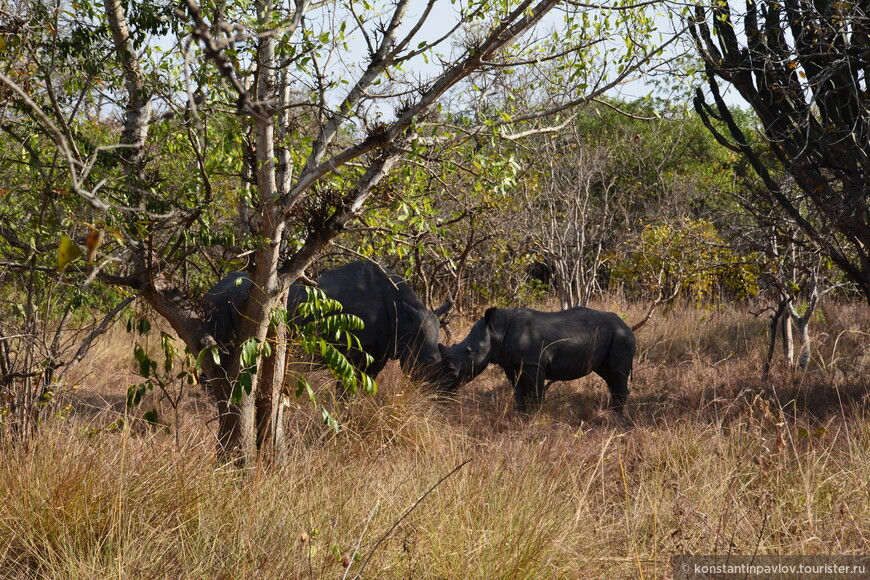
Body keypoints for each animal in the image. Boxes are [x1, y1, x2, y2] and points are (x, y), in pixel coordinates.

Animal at [204, 262, 454, 386]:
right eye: (423, 362)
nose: (428, 382)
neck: (401, 313)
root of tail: (210, 290)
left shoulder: (380, 350)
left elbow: (367, 383)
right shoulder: (356, 349)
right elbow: (348, 385)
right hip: (219, 303)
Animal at [440, 308, 636, 412]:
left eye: (468, 351)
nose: (443, 391)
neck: (497, 330)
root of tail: (627, 325)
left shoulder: (533, 363)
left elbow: (535, 392)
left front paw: (535, 416)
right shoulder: (511, 364)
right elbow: (519, 392)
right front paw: (521, 414)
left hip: (622, 336)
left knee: (617, 372)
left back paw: (617, 416)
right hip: (610, 336)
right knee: (609, 374)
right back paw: (614, 411)